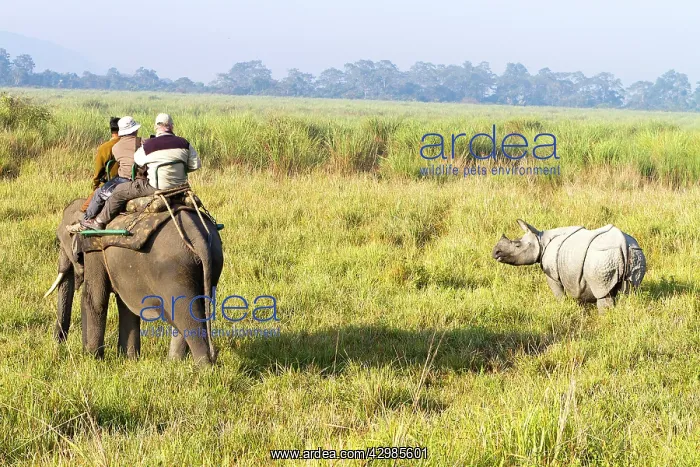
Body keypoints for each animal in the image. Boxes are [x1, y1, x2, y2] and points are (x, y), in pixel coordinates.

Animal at [492, 219, 646, 310]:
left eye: (517, 245)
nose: (495, 252)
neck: (540, 239)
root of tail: (623, 243)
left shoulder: (552, 273)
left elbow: (558, 292)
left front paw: (561, 306)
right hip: (635, 253)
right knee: (629, 291)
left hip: (602, 258)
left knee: (603, 293)